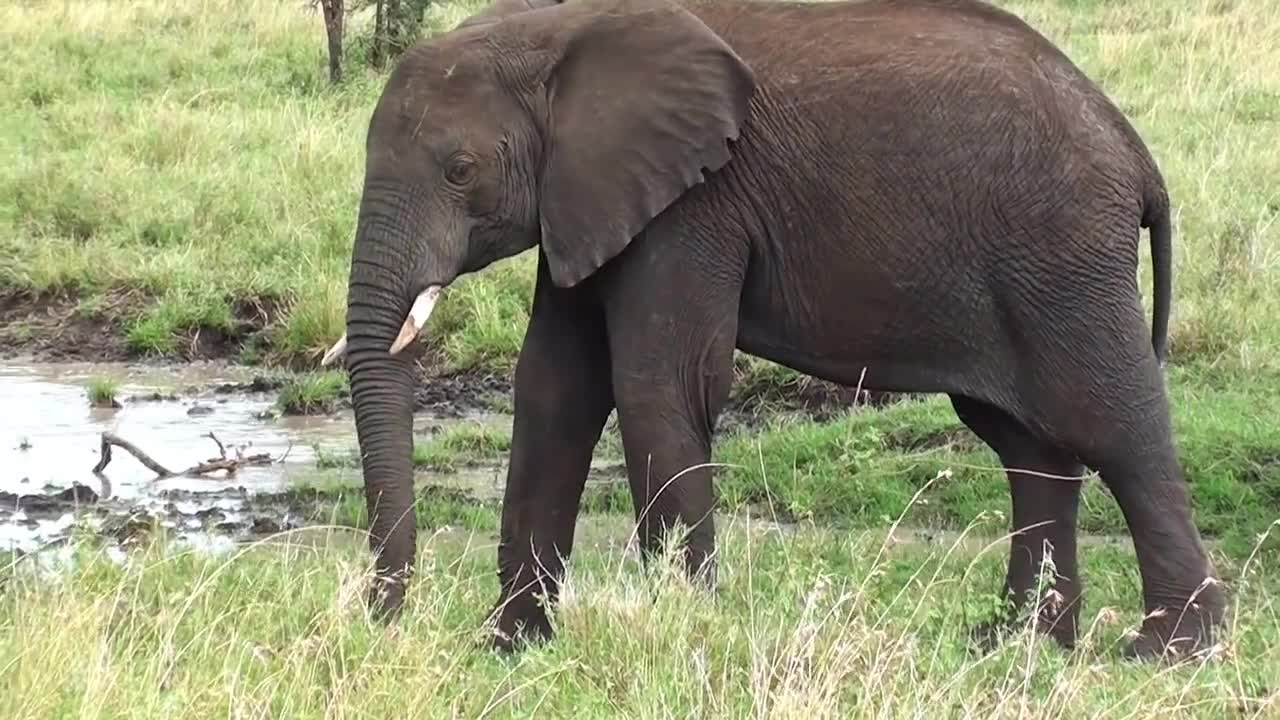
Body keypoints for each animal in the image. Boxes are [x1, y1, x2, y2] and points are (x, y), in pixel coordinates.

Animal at [325, 0, 1223, 661]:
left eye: (459, 172)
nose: (385, 619)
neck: (552, 30)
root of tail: (1137, 156)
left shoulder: (695, 202)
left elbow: (658, 383)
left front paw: (683, 634)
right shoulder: (588, 194)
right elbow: (554, 388)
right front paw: (511, 650)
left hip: (1065, 258)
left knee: (1114, 427)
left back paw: (1167, 652)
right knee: (1030, 447)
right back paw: (1014, 644)